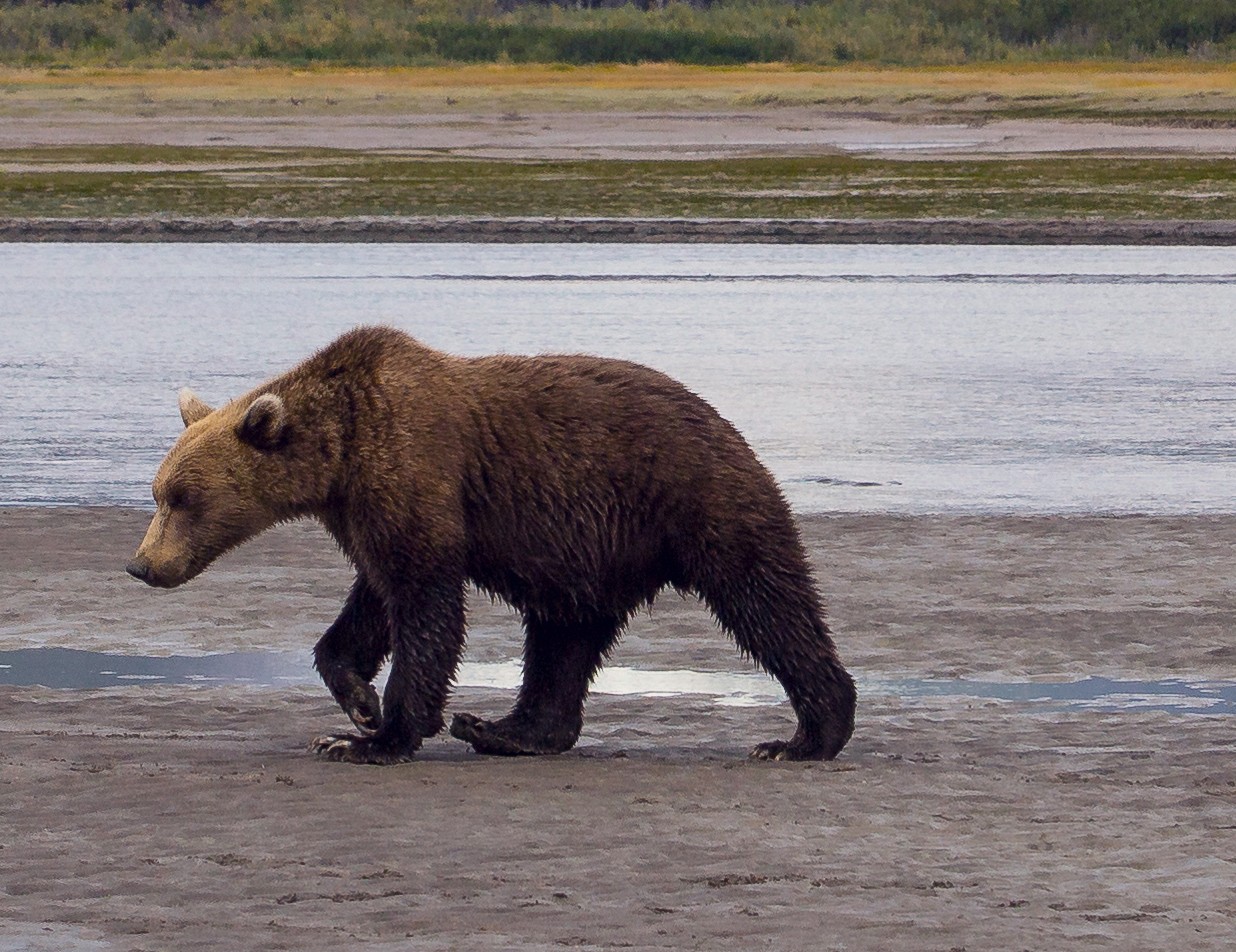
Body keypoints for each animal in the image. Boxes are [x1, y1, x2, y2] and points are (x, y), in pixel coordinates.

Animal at [127, 325, 856, 764]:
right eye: (157, 491)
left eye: (183, 498)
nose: (141, 564)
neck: (340, 454)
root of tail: (726, 424)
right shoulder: (366, 511)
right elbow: (371, 604)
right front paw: (356, 704)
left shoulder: (416, 473)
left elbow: (426, 608)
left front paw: (375, 737)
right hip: (590, 550)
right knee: (564, 638)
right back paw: (505, 730)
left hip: (697, 500)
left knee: (766, 602)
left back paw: (804, 736)